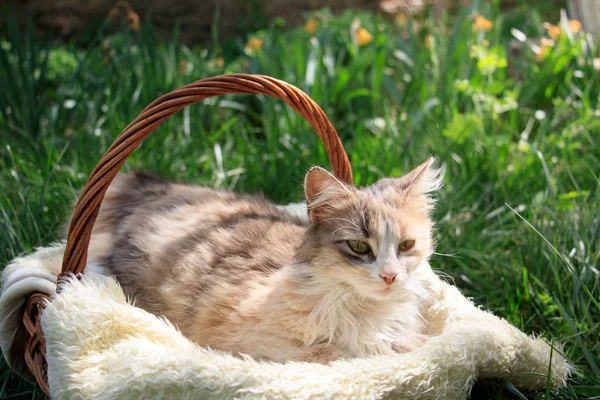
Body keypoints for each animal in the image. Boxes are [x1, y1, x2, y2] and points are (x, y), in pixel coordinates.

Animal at [84, 158, 442, 364]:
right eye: (358, 246)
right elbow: (341, 354)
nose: (390, 276)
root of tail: (155, 188)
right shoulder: (255, 341)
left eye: (406, 245)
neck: (365, 311)